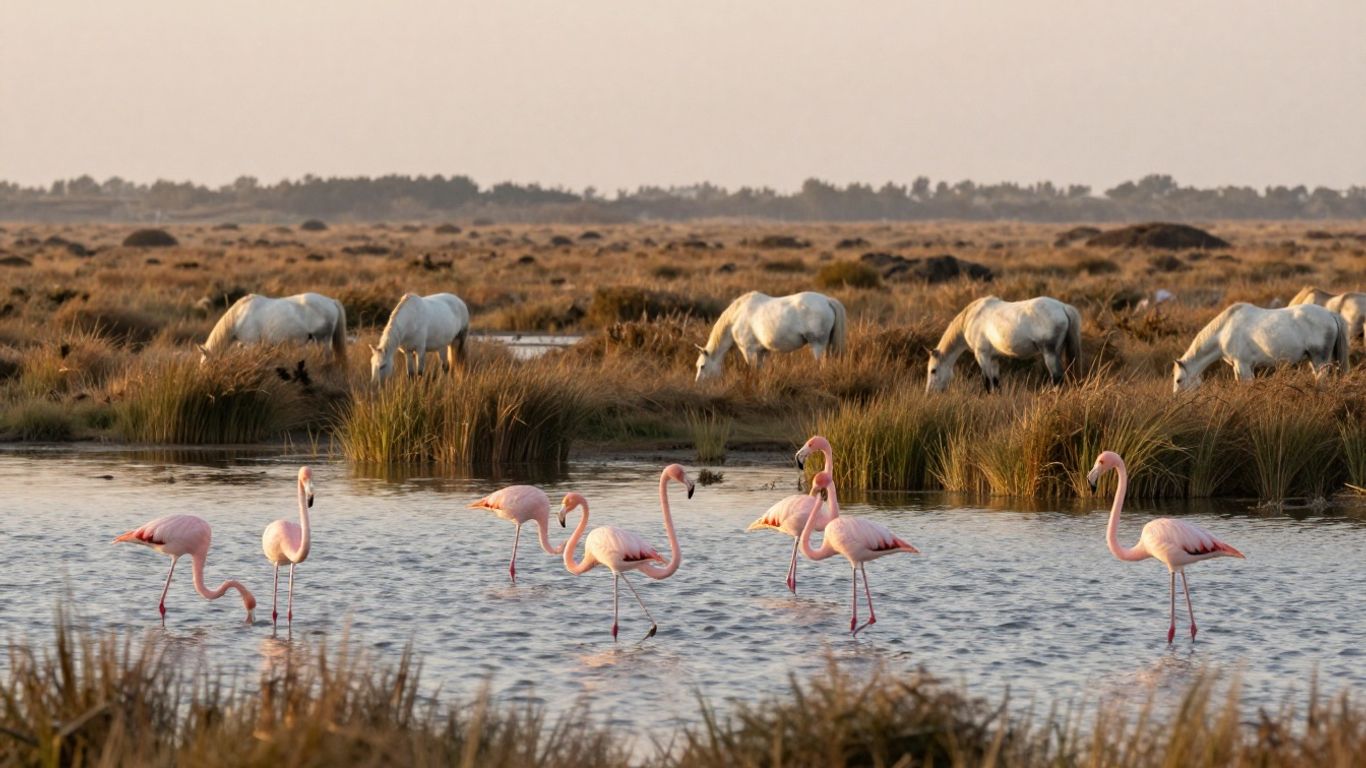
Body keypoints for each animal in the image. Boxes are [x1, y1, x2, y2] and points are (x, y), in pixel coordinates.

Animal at [694, 291, 847, 382]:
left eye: (702, 366)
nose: (698, 384)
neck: (736, 318)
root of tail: (827, 300)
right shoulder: (763, 351)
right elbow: (761, 369)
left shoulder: (748, 351)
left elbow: (753, 369)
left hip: (817, 344)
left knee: (820, 363)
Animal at [926, 296, 1081, 393]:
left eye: (933, 370)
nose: (929, 393)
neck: (971, 318)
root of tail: (1063, 307)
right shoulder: (994, 358)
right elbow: (996, 382)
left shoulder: (982, 355)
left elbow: (987, 382)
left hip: (1050, 354)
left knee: (1057, 378)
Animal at [1173, 303, 1348, 392]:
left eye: (1179, 380)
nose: (1176, 402)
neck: (1224, 330)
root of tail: (1331, 314)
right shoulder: (1240, 367)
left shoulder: (1243, 365)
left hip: (1320, 359)